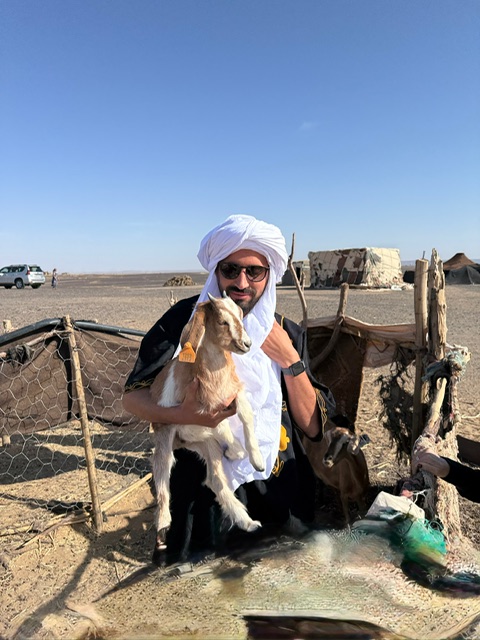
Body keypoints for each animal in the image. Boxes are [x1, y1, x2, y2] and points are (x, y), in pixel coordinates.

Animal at [149, 292, 265, 552]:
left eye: (240, 315)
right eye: (222, 321)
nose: (247, 344)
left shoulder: (234, 394)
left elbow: (246, 416)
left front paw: (256, 460)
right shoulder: (203, 411)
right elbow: (222, 425)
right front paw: (238, 451)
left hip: (206, 446)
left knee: (214, 480)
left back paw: (248, 522)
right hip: (165, 439)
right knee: (162, 478)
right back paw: (163, 525)